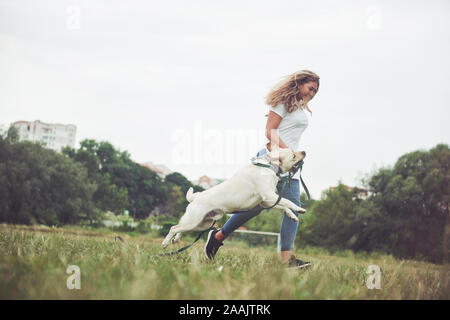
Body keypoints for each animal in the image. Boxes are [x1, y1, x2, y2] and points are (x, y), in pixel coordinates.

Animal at [161, 146, 306, 249]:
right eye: (293, 154)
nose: (304, 151)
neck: (269, 166)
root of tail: (196, 197)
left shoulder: (266, 201)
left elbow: (284, 206)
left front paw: (292, 215)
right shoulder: (269, 196)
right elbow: (288, 201)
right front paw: (299, 209)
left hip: (201, 224)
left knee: (181, 229)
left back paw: (176, 239)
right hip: (194, 220)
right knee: (174, 228)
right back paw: (165, 242)